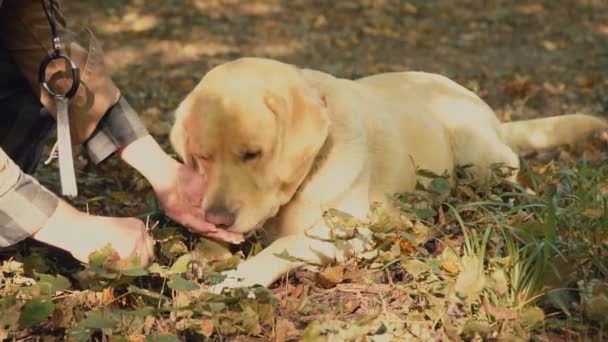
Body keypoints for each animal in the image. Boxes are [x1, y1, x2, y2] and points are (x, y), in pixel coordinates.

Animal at [171, 56, 608, 292]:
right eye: (202, 157)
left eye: (252, 154)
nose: (217, 217)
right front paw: (206, 253)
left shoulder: (350, 232)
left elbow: (281, 247)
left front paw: (237, 280)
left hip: (476, 153)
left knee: (511, 171)